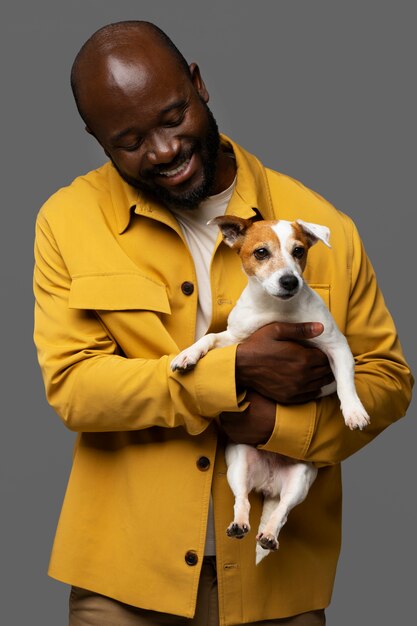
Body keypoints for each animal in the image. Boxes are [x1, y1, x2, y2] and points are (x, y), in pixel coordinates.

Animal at [169, 217, 368, 564]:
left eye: (299, 251)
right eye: (261, 252)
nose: (289, 281)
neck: (277, 310)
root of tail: (269, 485)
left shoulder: (336, 346)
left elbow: (345, 382)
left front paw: (354, 412)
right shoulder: (235, 340)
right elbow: (209, 338)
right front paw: (188, 355)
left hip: (300, 480)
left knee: (281, 513)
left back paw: (270, 535)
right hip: (237, 465)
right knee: (243, 500)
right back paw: (239, 524)